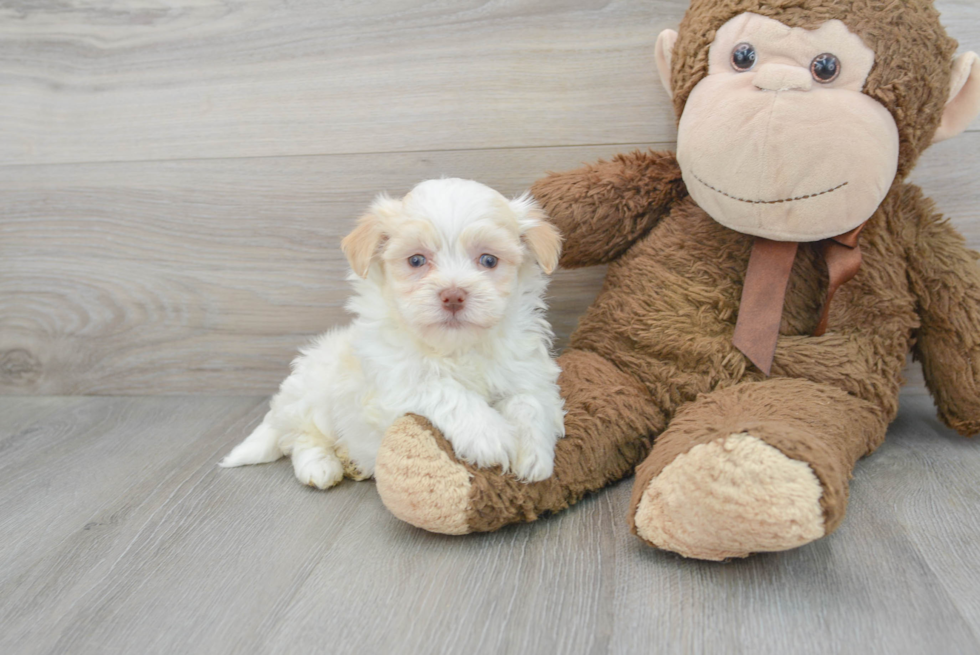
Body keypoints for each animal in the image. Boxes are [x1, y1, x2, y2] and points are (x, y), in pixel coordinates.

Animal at [217, 177, 564, 490]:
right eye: (416, 260)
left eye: (489, 260)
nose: (453, 295)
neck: (454, 348)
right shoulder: (395, 383)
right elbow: (444, 389)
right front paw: (489, 434)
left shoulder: (527, 370)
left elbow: (530, 402)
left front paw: (534, 453)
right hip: (315, 396)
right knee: (303, 437)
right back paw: (320, 467)